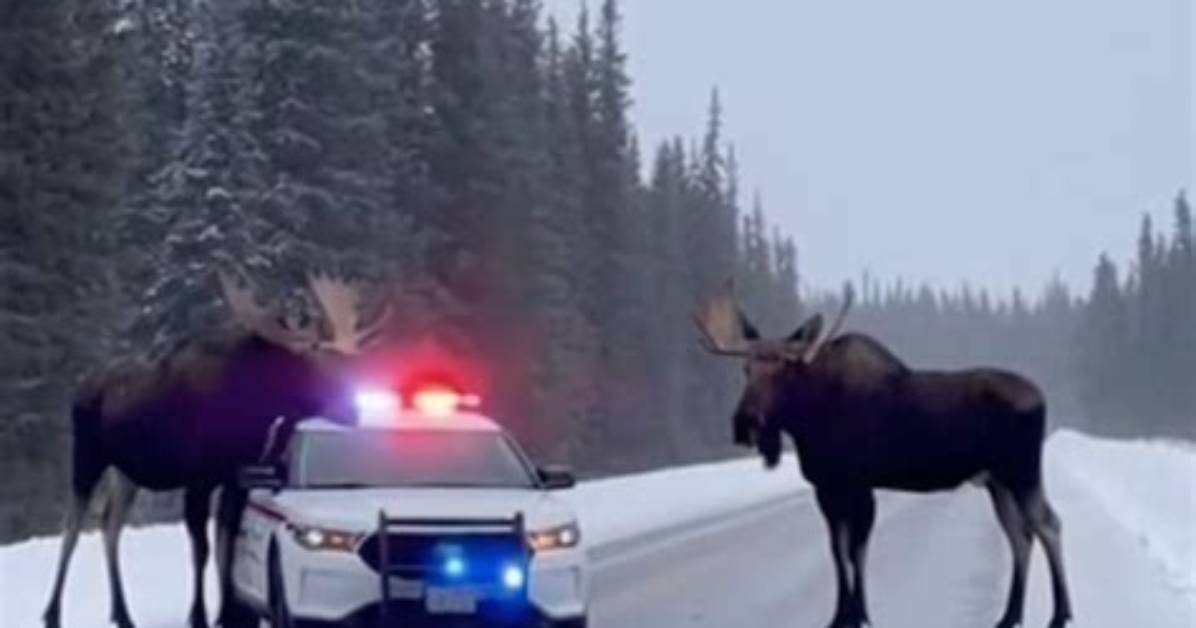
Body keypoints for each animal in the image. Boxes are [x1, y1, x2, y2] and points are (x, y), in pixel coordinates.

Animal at [42, 258, 391, 628]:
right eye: (309, 362)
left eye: (340, 359)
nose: (352, 407)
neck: (249, 411)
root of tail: (79, 389)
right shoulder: (198, 481)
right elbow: (203, 549)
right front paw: (198, 615)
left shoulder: (234, 479)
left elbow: (227, 544)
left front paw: (229, 612)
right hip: (87, 457)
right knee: (72, 525)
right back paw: (52, 611)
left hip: (125, 474)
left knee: (110, 525)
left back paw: (122, 613)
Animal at [692, 280, 1072, 628]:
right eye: (746, 369)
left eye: (783, 370)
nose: (745, 423)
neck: (809, 418)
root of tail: (1041, 397)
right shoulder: (826, 488)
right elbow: (838, 551)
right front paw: (841, 616)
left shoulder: (858, 485)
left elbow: (856, 551)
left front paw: (857, 614)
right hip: (997, 482)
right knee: (1020, 536)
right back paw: (1010, 616)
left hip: (1021, 471)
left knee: (1048, 523)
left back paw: (1059, 614)